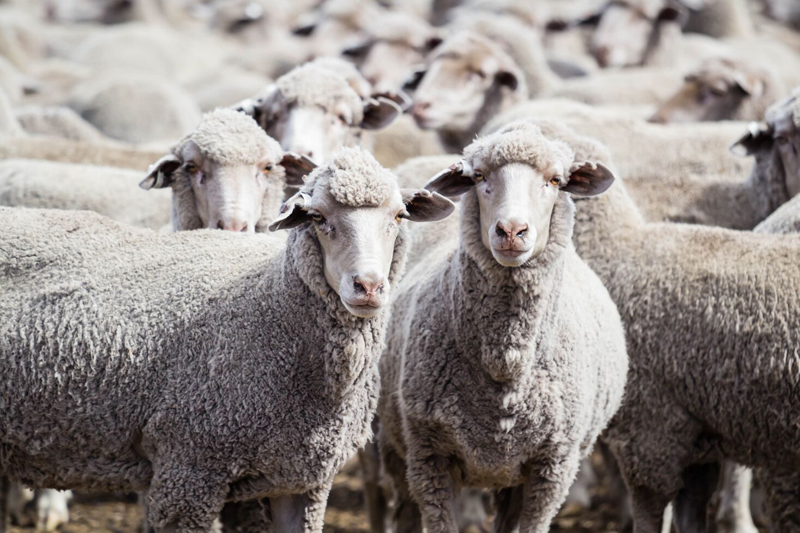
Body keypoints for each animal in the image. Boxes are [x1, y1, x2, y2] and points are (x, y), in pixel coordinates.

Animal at [0, 146, 455, 533]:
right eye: (318, 218)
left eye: (398, 217)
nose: (369, 286)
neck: (270, 308)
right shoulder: (188, 471)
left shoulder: (301, 480)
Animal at [379, 121, 627, 533]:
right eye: (479, 176)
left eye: (555, 180)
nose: (511, 230)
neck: (505, 366)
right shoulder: (430, 456)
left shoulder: (552, 468)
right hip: (397, 446)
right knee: (405, 510)